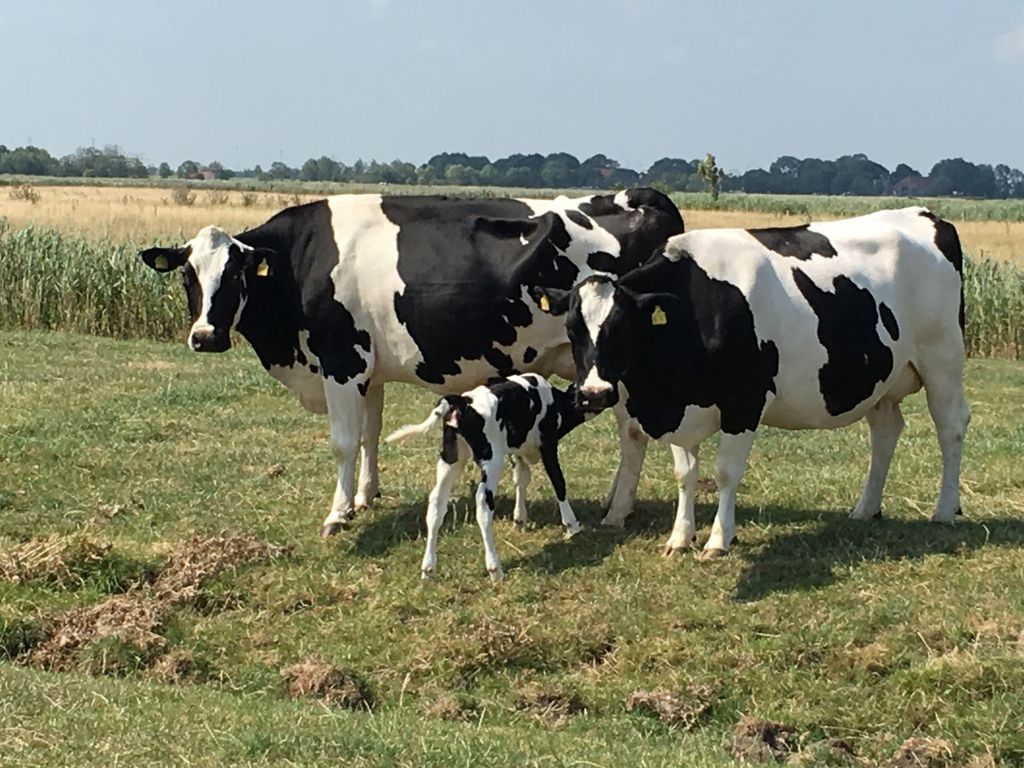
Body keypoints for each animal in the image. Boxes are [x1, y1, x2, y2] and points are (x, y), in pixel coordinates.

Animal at [138, 189, 683, 536]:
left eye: (236, 276)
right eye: (188, 275)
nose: (205, 337)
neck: (302, 260)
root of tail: (634, 195)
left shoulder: (341, 362)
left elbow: (342, 442)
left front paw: (338, 514)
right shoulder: (367, 371)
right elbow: (369, 434)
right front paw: (365, 496)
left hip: (614, 367)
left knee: (632, 434)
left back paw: (617, 510)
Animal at [386, 374, 587, 581]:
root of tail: (464, 401)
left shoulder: (517, 450)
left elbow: (521, 479)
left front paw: (519, 518)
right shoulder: (548, 444)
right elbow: (558, 481)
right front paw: (571, 525)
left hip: (451, 457)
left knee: (437, 501)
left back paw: (428, 569)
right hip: (492, 460)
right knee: (483, 502)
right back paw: (494, 569)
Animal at [533, 207, 969, 558]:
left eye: (623, 329)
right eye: (572, 330)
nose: (594, 394)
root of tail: (925, 215)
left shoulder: (744, 402)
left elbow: (726, 473)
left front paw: (717, 541)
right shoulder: (682, 407)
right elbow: (684, 474)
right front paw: (680, 538)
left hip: (942, 358)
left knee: (951, 427)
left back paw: (944, 510)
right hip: (882, 378)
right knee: (886, 431)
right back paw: (865, 508)